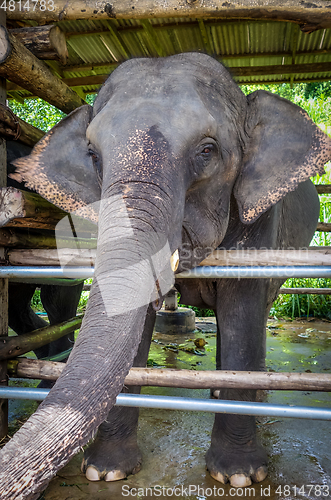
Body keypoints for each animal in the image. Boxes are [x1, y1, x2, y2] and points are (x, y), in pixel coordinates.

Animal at [0, 52, 331, 498]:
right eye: (93, 155)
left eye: (207, 151)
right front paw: (104, 471)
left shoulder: (260, 222)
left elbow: (242, 308)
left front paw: (239, 476)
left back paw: (253, 390)